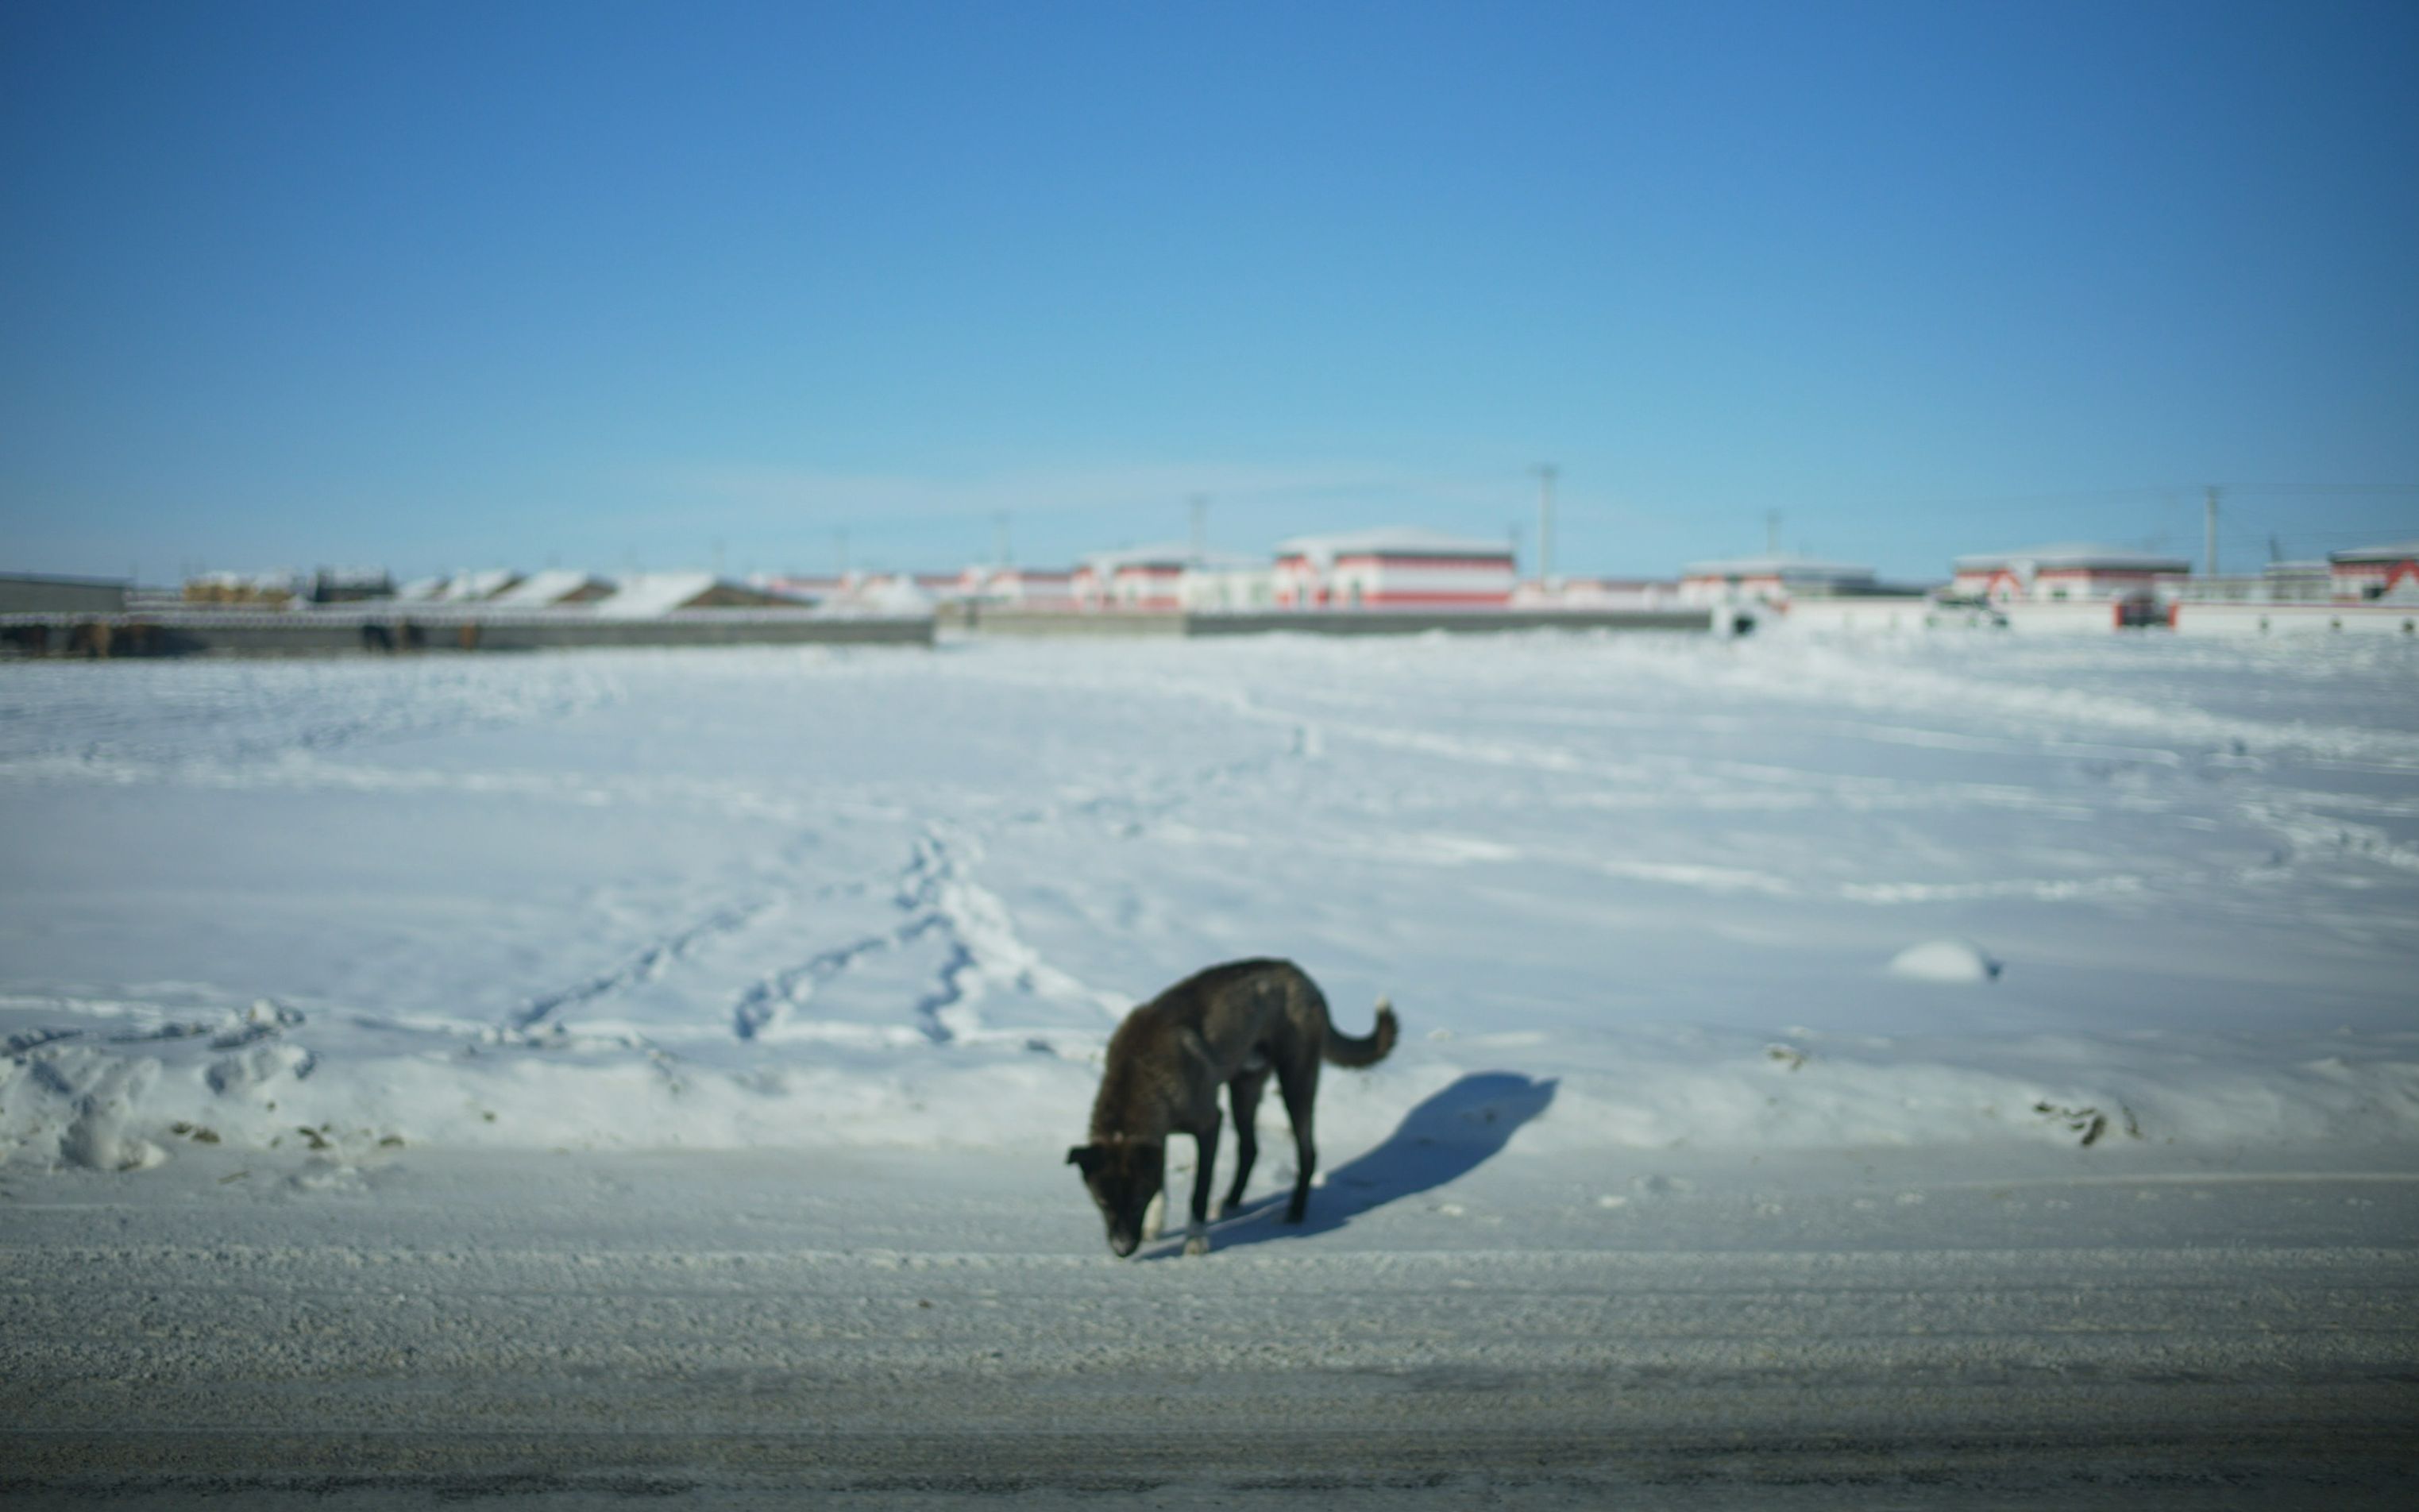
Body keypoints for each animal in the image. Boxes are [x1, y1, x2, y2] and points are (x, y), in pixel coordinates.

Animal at [1064, 962, 1393, 1258]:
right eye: (1102, 1202)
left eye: (1136, 1201)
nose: (1122, 1250)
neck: (1141, 1069)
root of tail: (1302, 977)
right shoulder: (1160, 1134)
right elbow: (1162, 1180)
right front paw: (1154, 1227)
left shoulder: (1210, 1124)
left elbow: (1199, 1190)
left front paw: (1196, 1241)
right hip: (1244, 1089)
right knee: (1250, 1148)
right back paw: (1232, 1203)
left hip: (1296, 1081)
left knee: (1307, 1152)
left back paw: (1294, 1213)